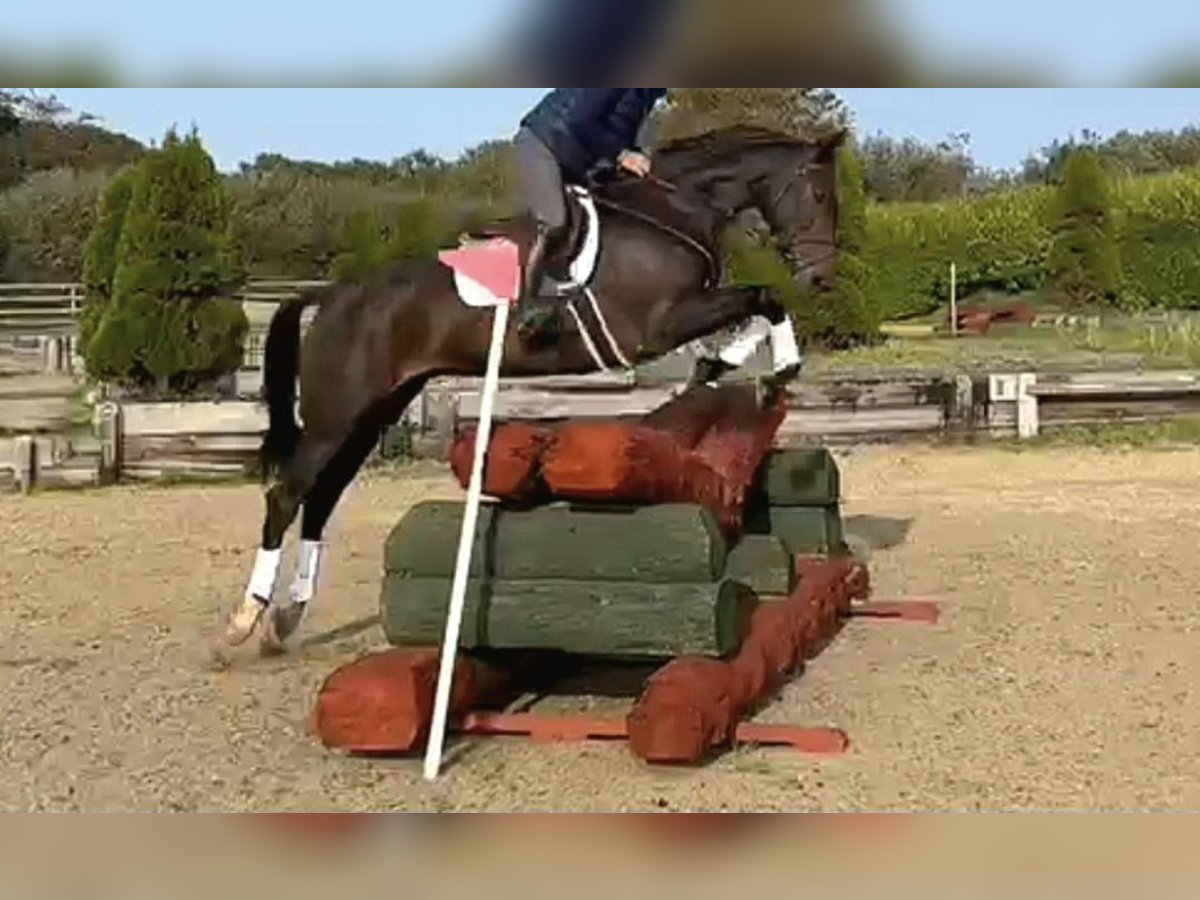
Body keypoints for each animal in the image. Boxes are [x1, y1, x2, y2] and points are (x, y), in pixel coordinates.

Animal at [225, 125, 844, 653]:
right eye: (818, 193)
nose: (822, 277)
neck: (673, 210)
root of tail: (332, 296)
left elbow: (759, 305)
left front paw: (730, 366)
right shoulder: (658, 326)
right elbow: (764, 298)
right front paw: (758, 366)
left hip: (374, 411)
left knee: (322, 498)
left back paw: (287, 617)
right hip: (337, 415)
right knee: (287, 495)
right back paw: (245, 619)